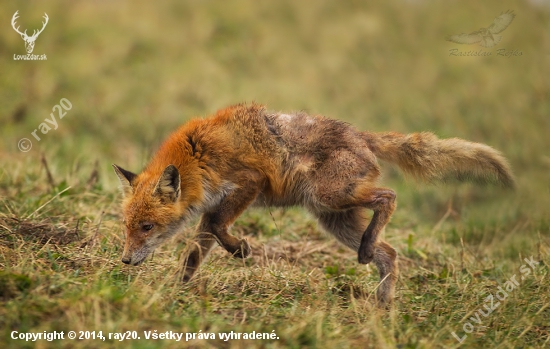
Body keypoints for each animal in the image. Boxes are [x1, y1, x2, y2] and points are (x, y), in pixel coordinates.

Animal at [113, 102, 516, 304]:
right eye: (127, 227)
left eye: (147, 227)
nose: (126, 260)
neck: (199, 158)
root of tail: (360, 135)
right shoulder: (214, 206)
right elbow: (194, 255)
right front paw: (176, 291)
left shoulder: (248, 183)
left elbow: (216, 229)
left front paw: (239, 249)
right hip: (334, 219)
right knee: (389, 252)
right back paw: (383, 300)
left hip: (330, 197)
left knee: (389, 197)